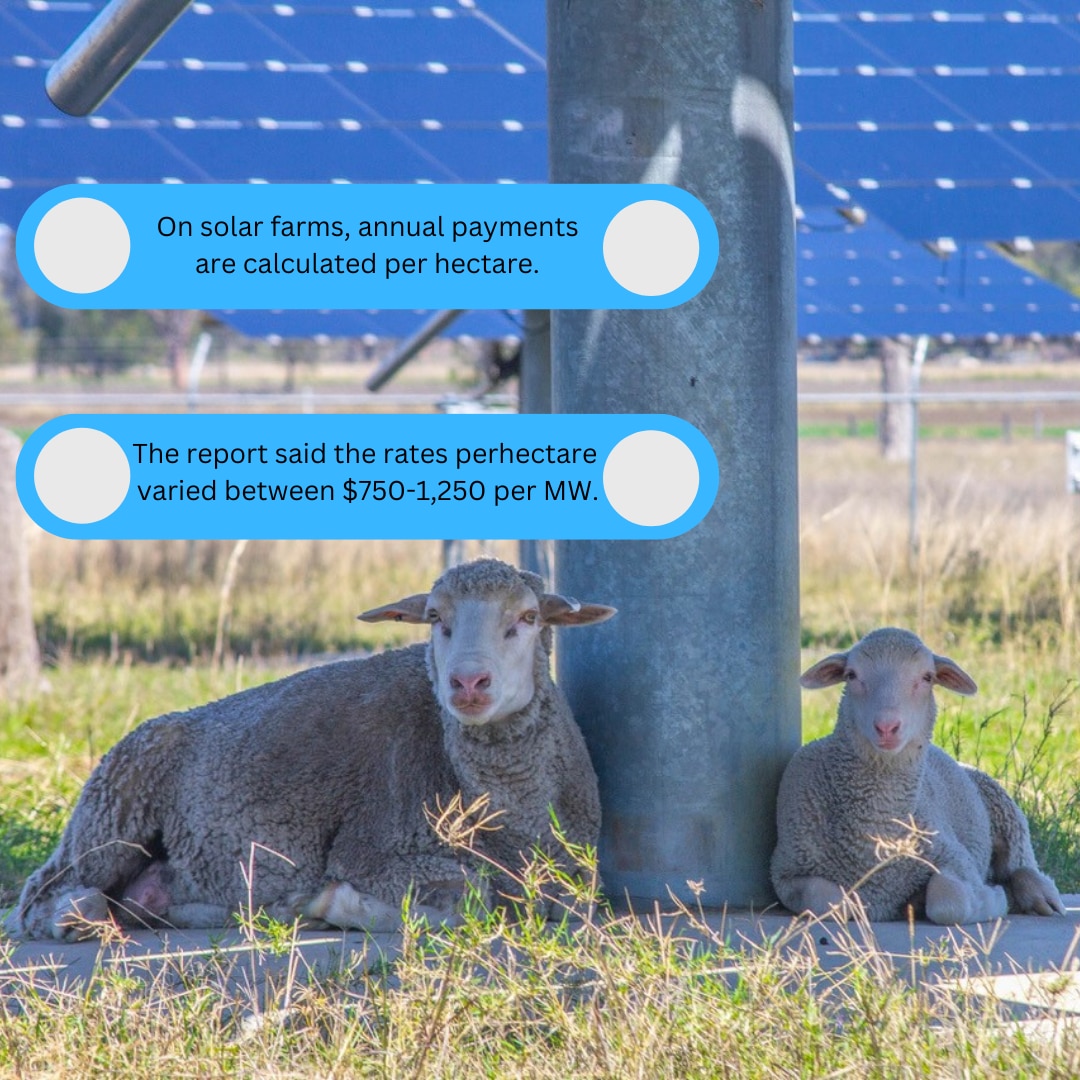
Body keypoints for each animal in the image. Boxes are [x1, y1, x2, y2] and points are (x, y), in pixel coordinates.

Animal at [10, 561, 617, 941]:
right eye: (435, 619)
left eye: (528, 617)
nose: (468, 683)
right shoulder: (372, 848)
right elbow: (473, 895)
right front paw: (337, 906)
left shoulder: (573, 877)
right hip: (110, 817)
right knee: (40, 895)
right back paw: (76, 918)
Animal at [768, 630, 1062, 924]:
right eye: (851, 675)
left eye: (927, 677)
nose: (887, 727)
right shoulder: (787, 871)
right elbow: (830, 902)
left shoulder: (956, 859)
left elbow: (948, 902)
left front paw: (994, 898)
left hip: (1006, 814)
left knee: (1022, 864)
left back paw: (1037, 896)